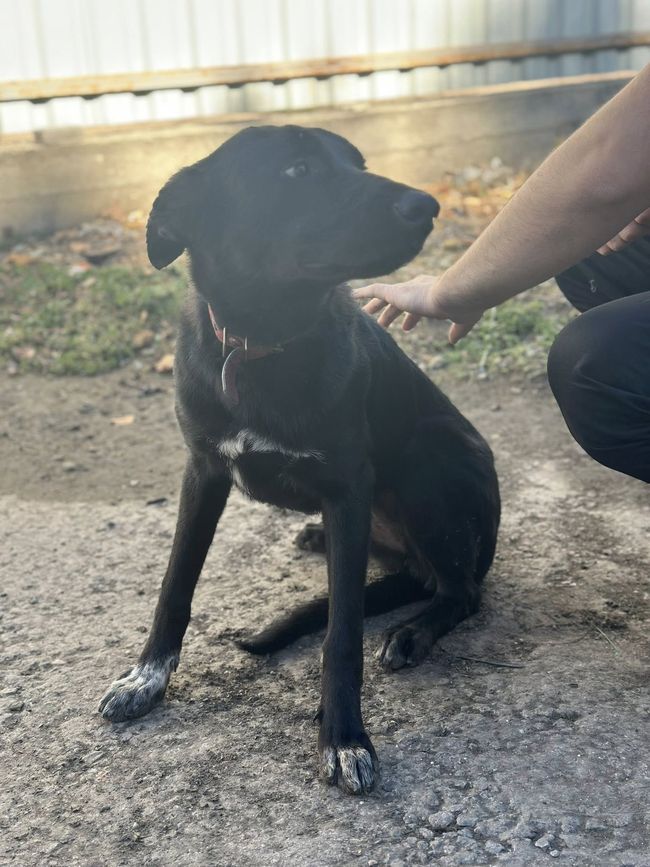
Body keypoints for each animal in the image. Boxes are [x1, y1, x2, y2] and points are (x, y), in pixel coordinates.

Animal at [99, 125, 500, 795]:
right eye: (298, 170)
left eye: (358, 163)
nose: (427, 205)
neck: (263, 344)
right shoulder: (202, 472)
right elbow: (174, 585)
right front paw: (144, 679)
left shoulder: (347, 492)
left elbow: (342, 634)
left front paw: (344, 738)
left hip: (429, 461)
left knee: (461, 590)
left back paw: (413, 632)